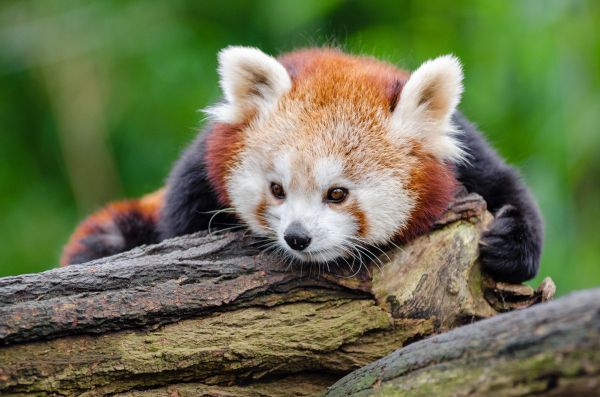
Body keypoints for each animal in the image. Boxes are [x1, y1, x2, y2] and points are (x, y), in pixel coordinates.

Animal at [61, 46, 544, 284]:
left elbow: (509, 187)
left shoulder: (468, 152)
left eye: (337, 193)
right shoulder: (197, 172)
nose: (297, 237)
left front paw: (509, 245)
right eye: (277, 189)